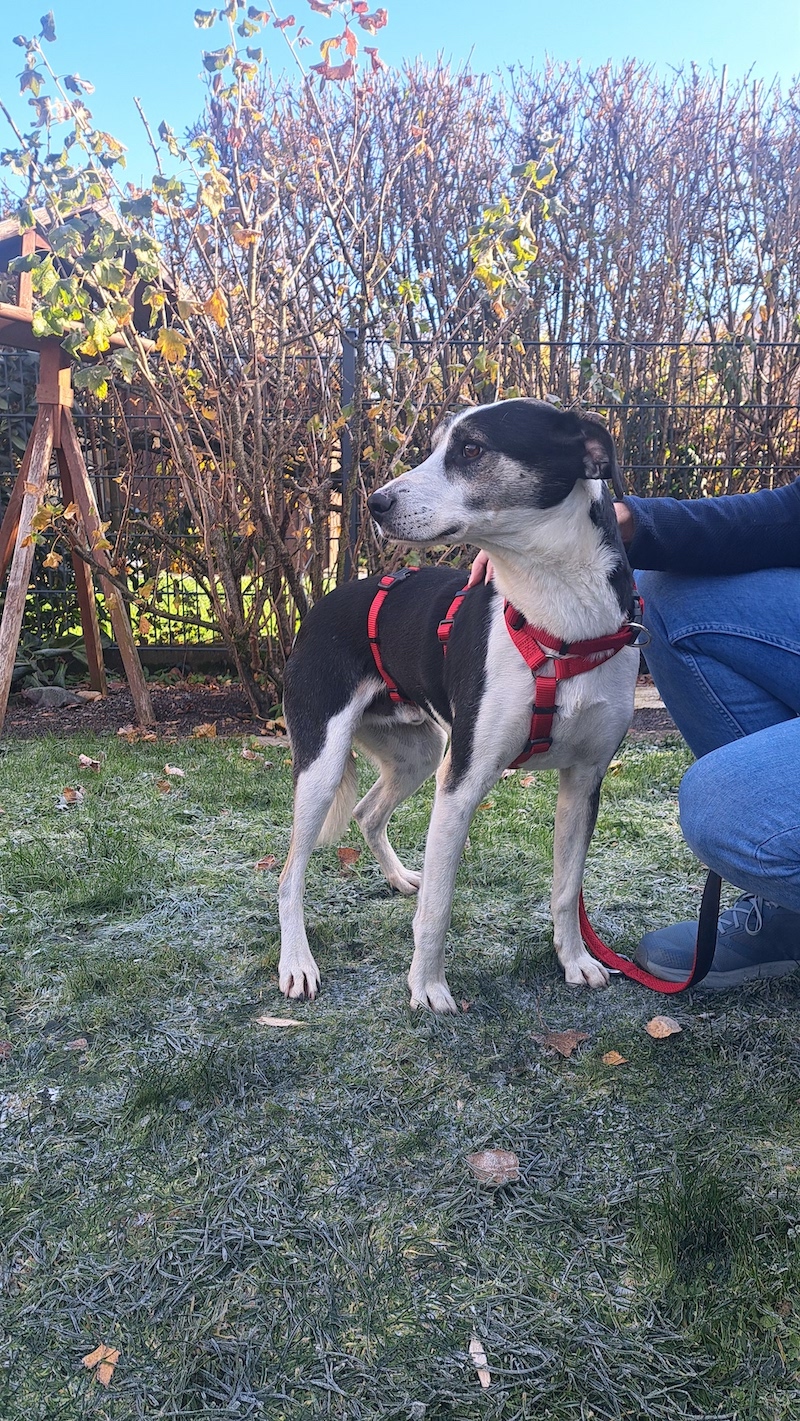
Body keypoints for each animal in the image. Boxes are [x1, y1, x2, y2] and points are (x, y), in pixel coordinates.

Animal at [277, 398, 640, 1012]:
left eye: (471, 449)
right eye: (434, 446)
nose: (376, 503)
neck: (560, 621)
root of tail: (325, 600)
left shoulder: (585, 779)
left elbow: (566, 889)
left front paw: (575, 960)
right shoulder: (462, 781)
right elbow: (440, 907)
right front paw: (427, 987)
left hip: (420, 752)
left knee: (366, 813)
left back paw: (400, 878)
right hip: (324, 763)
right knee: (289, 876)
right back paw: (298, 963)